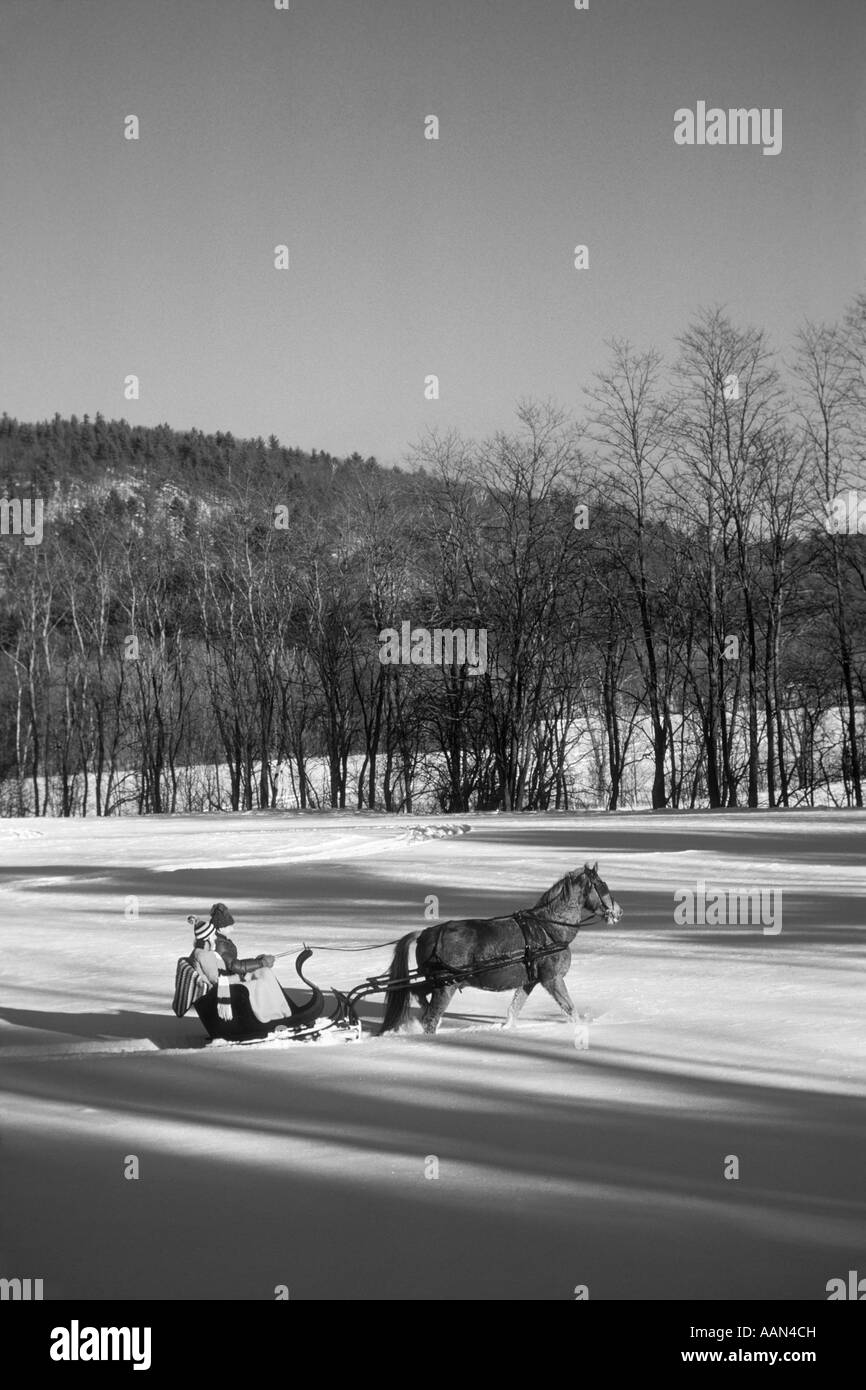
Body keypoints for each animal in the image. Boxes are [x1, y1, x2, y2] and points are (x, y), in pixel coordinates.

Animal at [378, 856, 622, 1045]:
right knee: (430, 1018)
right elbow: (570, 1009)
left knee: (416, 992)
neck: (548, 927)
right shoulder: (552, 979)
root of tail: (427, 932)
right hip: (445, 986)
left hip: (436, 982)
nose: (618, 912)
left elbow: (514, 1009)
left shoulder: (530, 981)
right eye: (602, 885)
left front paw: (508, 1029)